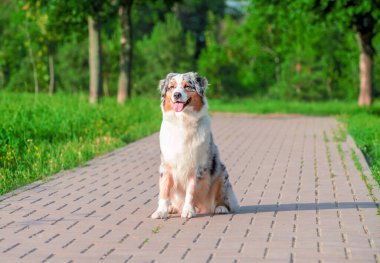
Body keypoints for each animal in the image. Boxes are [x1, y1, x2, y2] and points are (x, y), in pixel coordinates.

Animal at [151, 71, 238, 220]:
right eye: (171, 87)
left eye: (187, 86)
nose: (177, 95)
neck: (182, 122)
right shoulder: (166, 166)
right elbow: (164, 191)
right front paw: (161, 211)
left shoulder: (196, 167)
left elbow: (191, 192)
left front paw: (188, 211)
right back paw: (172, 208)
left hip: (221, 172)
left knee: (223, 198)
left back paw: (220, 208)